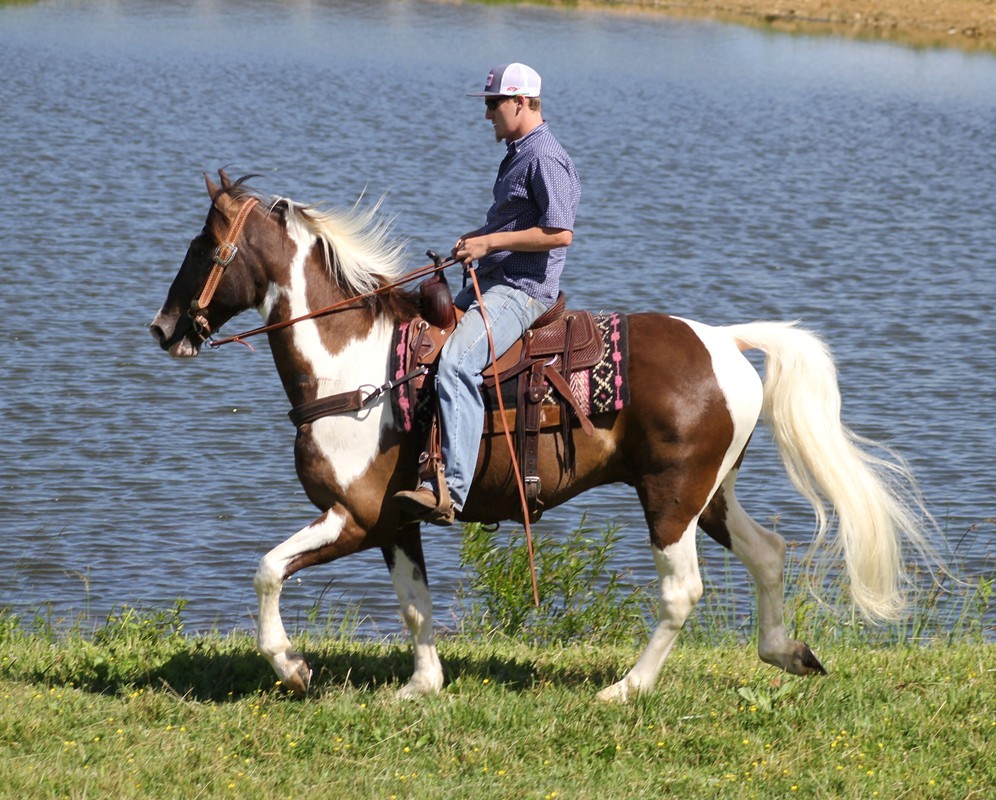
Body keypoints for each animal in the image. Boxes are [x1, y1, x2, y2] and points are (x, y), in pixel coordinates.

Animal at [150, 171, 933, 701]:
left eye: (203, 245)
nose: (163, 329)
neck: (355, 368)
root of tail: (724, 341)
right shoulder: (397, 522)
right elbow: (414, 603)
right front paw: (421, 687)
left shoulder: (354, 515)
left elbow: (267, 570)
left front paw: (292, 667)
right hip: (708, 495)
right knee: (767, 553)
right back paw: (787, 653)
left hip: (670, 499)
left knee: (682, 592)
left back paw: (626, 688)